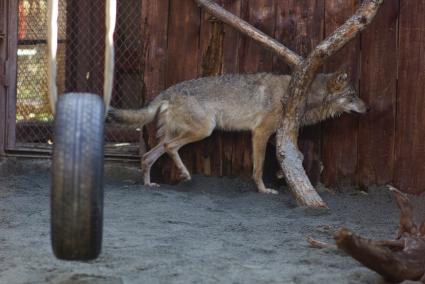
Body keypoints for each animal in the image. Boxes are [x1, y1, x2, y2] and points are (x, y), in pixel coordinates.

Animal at [108, 71, 368, 195]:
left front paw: (281, 175)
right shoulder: (260, 133)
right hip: (204, 130)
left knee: (147, 156)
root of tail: (167, 91)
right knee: (169, 147)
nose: (368, 108)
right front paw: (263, 190)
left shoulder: (273, 135)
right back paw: (185, 175)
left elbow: (298, 155)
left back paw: (149, 184)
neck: (297, 96)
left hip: (182, 134)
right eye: (353, 95)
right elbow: (259, 168)